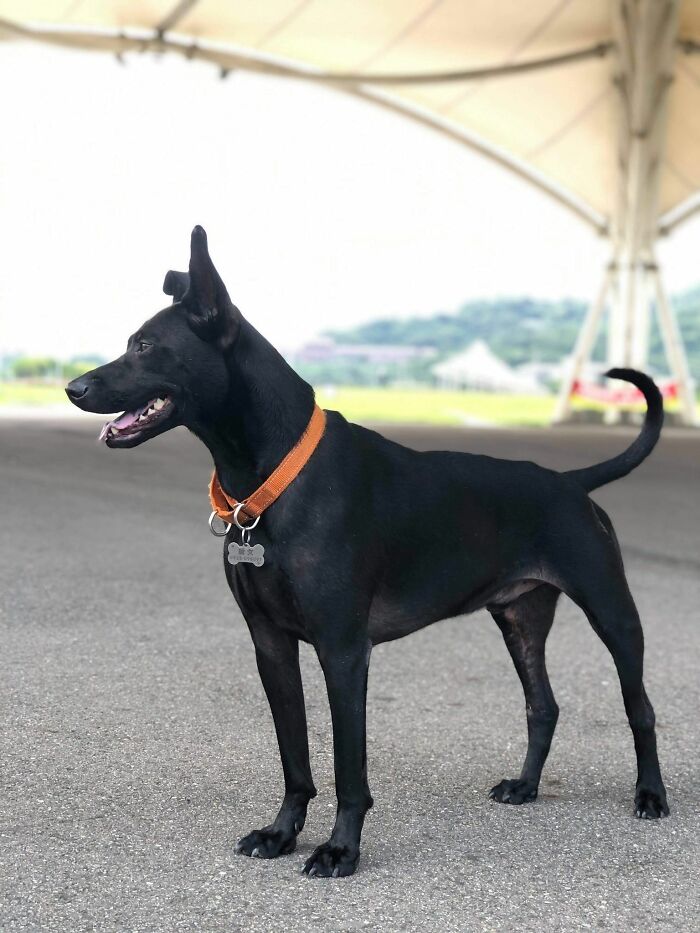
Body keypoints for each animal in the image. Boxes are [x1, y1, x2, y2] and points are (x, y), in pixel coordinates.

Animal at [65, 226, 668, 872]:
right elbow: (295, 758)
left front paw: (339, 849)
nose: (73, 387)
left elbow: (347, 766)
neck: (276, 476)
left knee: (641, 709)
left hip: (612, 612)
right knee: (543, 706)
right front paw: (280, 833)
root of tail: (572, 481)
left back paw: (651, 795)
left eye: (146, 345)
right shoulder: (270, 644)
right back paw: (525, 786)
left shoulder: (344, 650)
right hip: (519, 618)